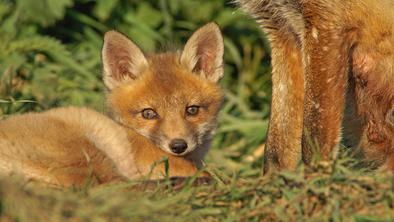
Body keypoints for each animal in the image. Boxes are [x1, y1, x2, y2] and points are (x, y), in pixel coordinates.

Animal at [237, 0, 394, 172]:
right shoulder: (281, 32)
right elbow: (276, 153)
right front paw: (278, 180)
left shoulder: (325, 25)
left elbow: (314, 144)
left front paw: (317, 178)